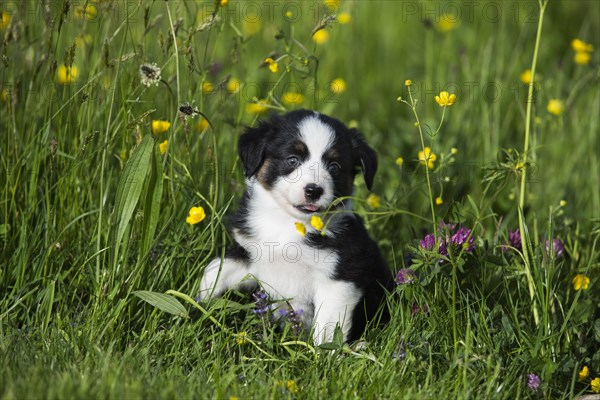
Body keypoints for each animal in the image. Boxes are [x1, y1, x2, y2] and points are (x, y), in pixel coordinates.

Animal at [199, 108, 396, 344]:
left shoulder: (339, 278)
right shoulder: (249, 253)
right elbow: (214, 271)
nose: (314, 190)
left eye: (334, 167)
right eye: (292, 160)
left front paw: (325, 354)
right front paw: (199, 304)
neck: (287, 223)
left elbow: (328, 328)